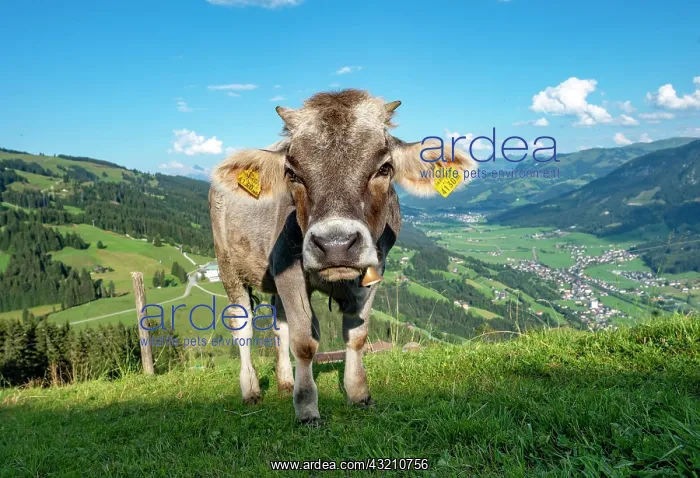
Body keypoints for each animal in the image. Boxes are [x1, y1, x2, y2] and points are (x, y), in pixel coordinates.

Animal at [209, 89, 475, 423]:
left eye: (384, 168)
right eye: (292, 173)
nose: (335, 244)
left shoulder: (377, 267)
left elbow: (357, 335)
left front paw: (358, 393)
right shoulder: (288, 269)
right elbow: (304, 342)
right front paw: (307, 408)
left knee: (280, 323)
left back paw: (285, 383)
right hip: (227, 265)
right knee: (241, 325)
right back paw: (251, 390)